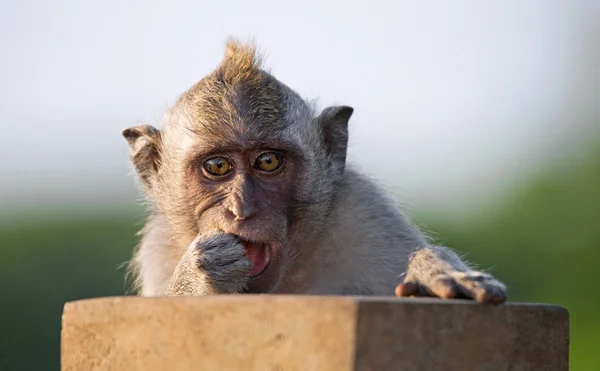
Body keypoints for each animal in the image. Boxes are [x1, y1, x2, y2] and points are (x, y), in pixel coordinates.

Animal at [122, 39, 506, 304]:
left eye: (268, 162)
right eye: (217, 166)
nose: (242, 209)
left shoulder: (366, 214)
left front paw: (433, 272)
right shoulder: (158, 249)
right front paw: (197, 278)